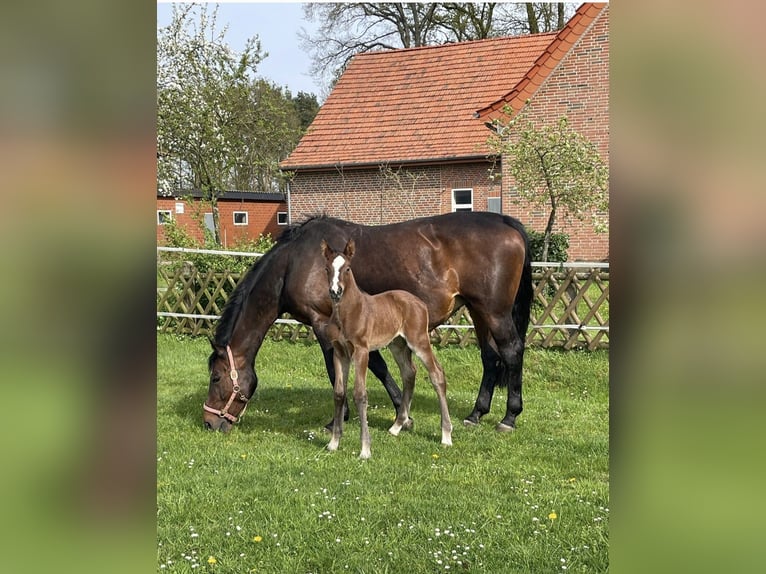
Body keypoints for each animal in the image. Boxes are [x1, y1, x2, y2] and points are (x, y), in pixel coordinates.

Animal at [201, 213, 532, 436]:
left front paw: (338, 420)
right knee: (490, 357)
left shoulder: (324, 325)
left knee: (512, 351)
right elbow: (379, 366)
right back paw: (476, 414)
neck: (295, 263)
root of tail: (504, 222)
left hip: (495, 312)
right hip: (478, 311)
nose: (209, 422)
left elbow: (338, 370)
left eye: (216, 378)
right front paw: (402, 413)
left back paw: (509, 418)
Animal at [320, 238, 452, 460]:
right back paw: (396, 427)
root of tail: (420, 302)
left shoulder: (362, 351)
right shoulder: (340, 352)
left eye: (347, 268)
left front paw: (365, 450)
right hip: (397, 345)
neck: (348, 312)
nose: (335, 292)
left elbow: (360, 395)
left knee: (437, 374)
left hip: (419, 341)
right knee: (409, 373)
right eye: (327, 268)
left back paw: (446, 436)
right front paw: (333, 443)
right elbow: (339, 393)